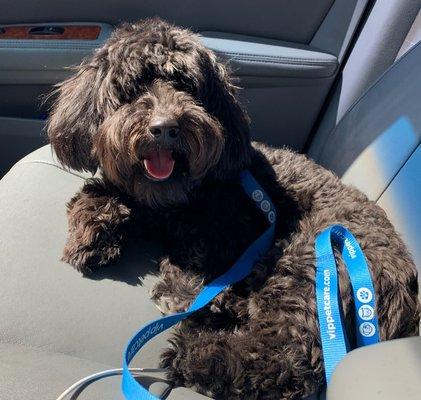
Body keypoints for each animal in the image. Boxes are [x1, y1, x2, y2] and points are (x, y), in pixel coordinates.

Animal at [47, 18, 418, 400]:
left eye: (186, 86)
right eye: (134, 87)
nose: (165, 128)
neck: (176, 194)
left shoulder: (229, 231)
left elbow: (199, 258)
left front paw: (186, 288)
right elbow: (94, 192)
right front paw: (92, 237)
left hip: (312, 261)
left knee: (282, 358)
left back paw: (199, 352)